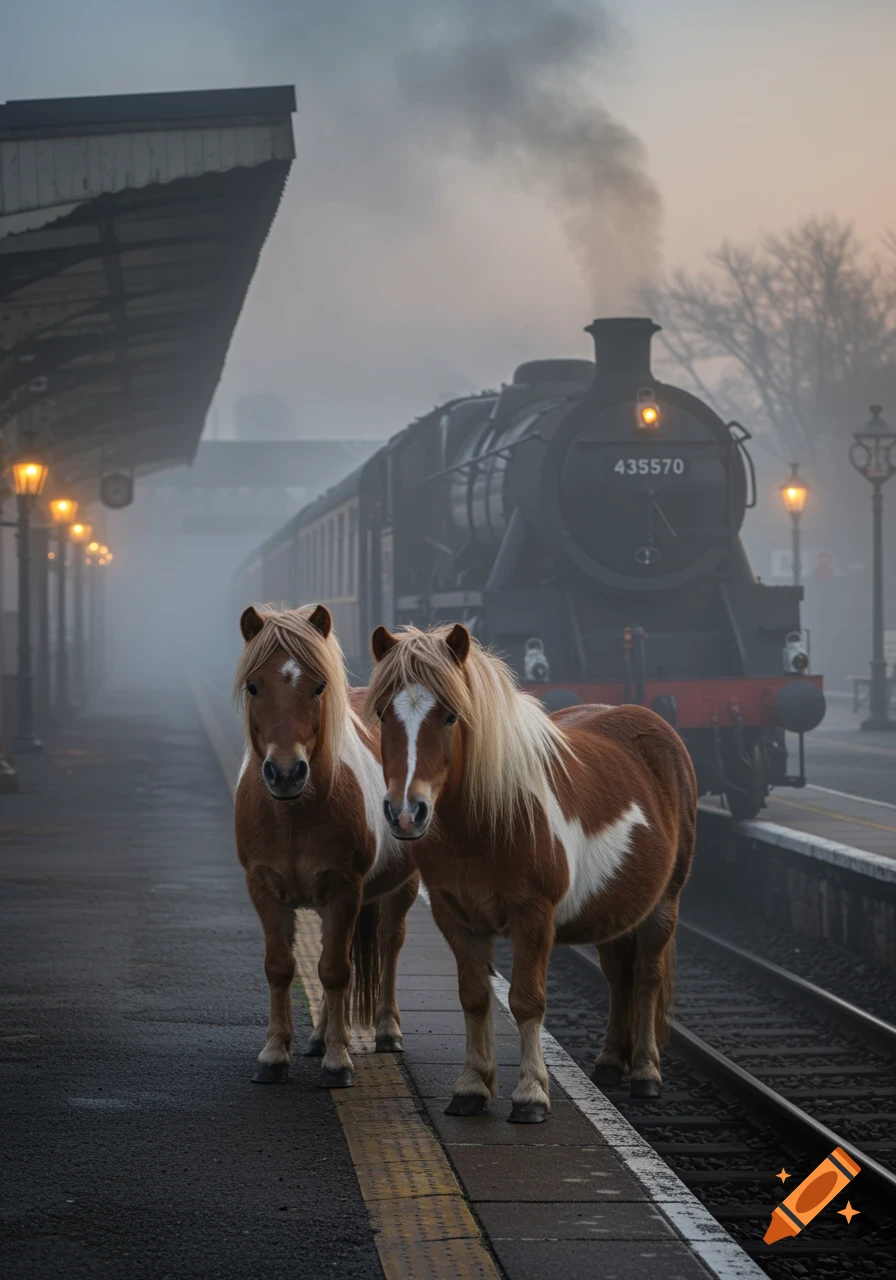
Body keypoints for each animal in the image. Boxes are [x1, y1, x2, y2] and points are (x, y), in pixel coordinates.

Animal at [233, 603, 418, 1088]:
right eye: (253, 685)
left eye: (319, 686)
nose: (285, 773)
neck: (294, 813)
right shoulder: (263, 887)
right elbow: (283, 967)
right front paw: (274, 1055)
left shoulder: (344, 888)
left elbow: (335, 972)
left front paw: (339, 1062)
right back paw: (317, 1038)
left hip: (403, 884)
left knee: (389, 943)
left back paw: (386, 1031)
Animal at [364, 622, 697, 1123]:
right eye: (383, 714)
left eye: (450, 716)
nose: (406, 813)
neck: (489, 819)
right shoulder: (454, 914)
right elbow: (474, 996)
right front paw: (471, 1088)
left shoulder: (534, 917)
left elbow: (525, 1001)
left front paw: (531, 1096)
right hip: (615, 909)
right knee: (617, 975)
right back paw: (608, 1063)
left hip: (665, 903)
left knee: (645, 977)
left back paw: (644, 1073)